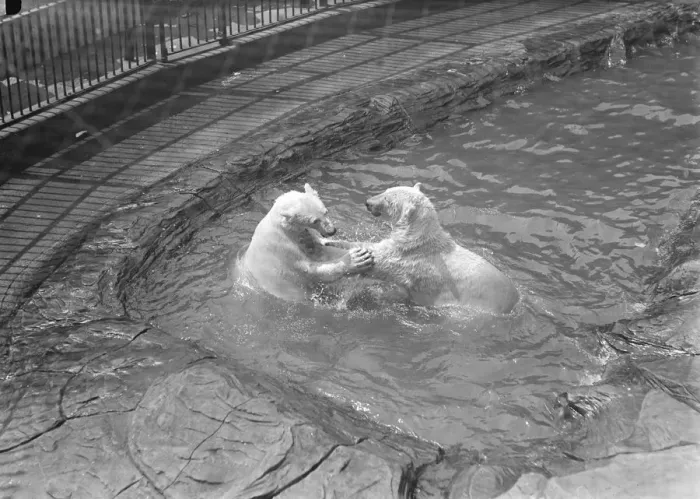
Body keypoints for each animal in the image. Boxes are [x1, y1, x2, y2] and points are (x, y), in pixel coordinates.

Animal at [236, 183, 374, 303]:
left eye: (325, 211)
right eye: (314, 221)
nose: (332, 231)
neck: (283, 227)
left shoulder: (304, 236)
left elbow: (321, 249)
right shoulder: (282, 248)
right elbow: (309, 269)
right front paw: (356, 259)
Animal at [324, 183, 520, 314]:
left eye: (387, 198)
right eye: (386, 190)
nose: (367, 202)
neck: (417, 237)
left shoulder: (409, 259)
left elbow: (381, 262)